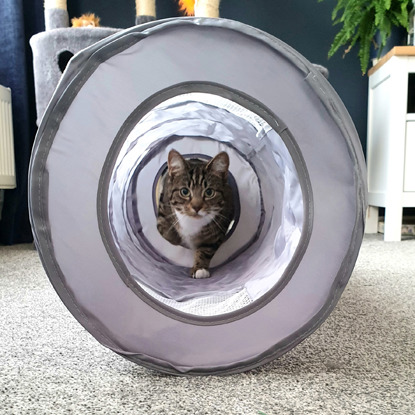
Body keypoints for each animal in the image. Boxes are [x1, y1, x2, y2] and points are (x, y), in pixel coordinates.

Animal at [157, 150, 234, 280]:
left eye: (209, 192)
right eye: (184, 191)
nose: (196, 207)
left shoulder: (221, 223)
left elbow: (206, 249)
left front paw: (200, 268)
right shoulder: (164, 207)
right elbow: (167, 232)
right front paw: (179, 239)